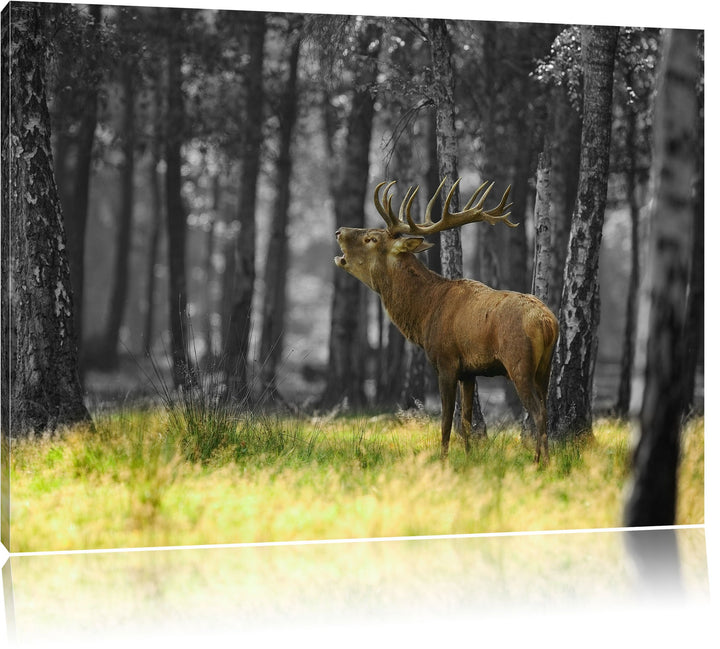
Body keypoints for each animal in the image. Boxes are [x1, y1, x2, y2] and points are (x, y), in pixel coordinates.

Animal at [334, 177, 559, 463]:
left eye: (371, 238)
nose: (339, 231)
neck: (425, 313)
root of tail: (547, 323)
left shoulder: (446, 360)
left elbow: (446, 421)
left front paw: (443, 460)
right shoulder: (470, 371)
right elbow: (466, 421)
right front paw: (470, 458)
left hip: (519, 362)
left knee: (538, 412)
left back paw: (540, 463)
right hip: (545, 367)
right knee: (546, 409)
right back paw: (545, 460)